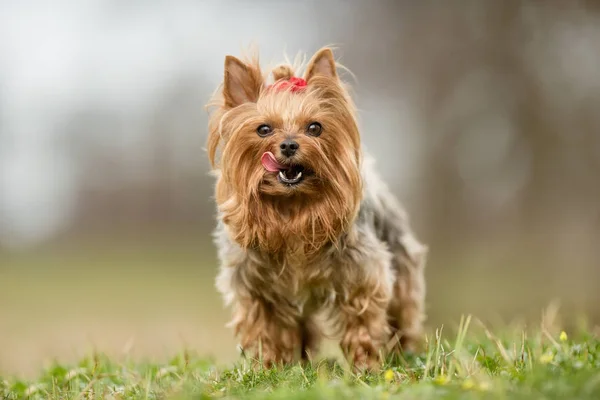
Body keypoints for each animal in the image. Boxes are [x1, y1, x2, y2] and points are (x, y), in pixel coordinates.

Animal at [206, 47, 426, 368]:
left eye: (314, 127)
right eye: (263, 129)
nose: (288, 145)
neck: (292, 206)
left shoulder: (361, 274)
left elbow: (362, 320)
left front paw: (365, 364)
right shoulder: (255, 287)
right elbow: (265, 328)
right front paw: (267, 366)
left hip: (402, 264)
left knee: (403, 313)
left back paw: (405, 352)